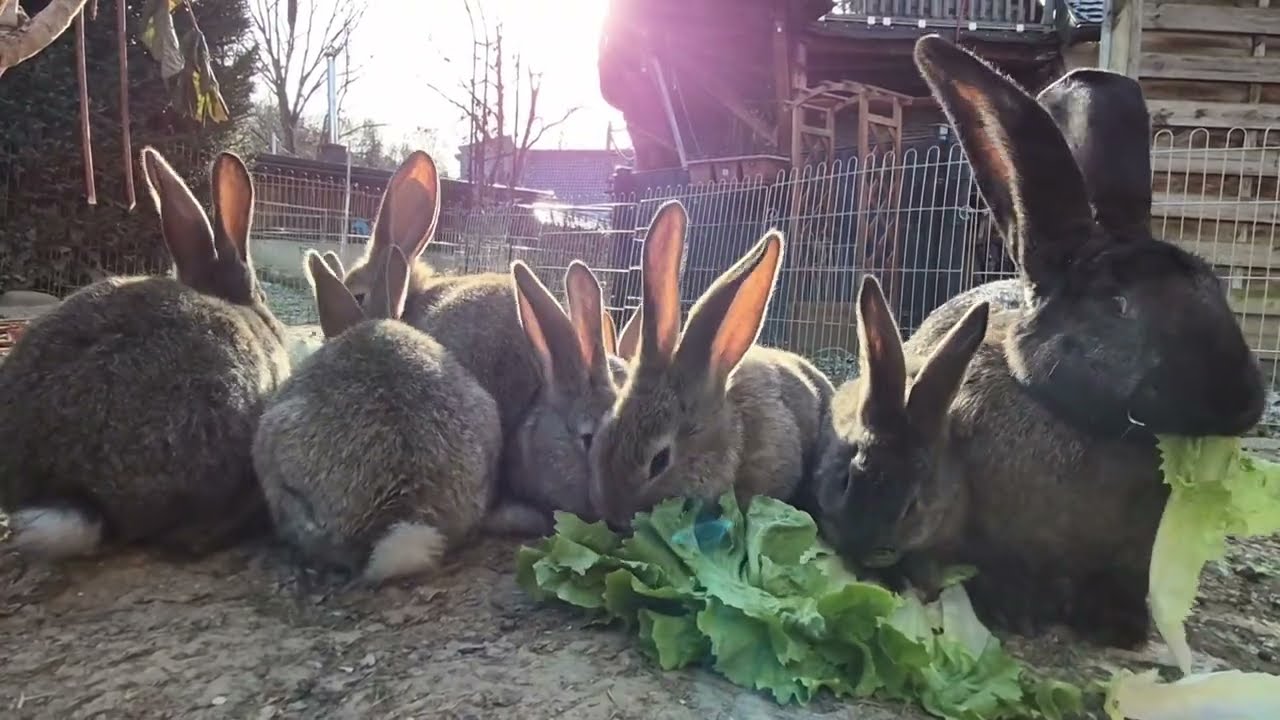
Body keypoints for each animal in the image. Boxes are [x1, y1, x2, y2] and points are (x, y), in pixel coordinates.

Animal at [813, 35, 1266, 649]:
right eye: (1117, 304)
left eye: (1216, 287)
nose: (1244, 403)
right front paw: (1015, 619)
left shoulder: (1128, 560)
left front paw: (1122, 631)